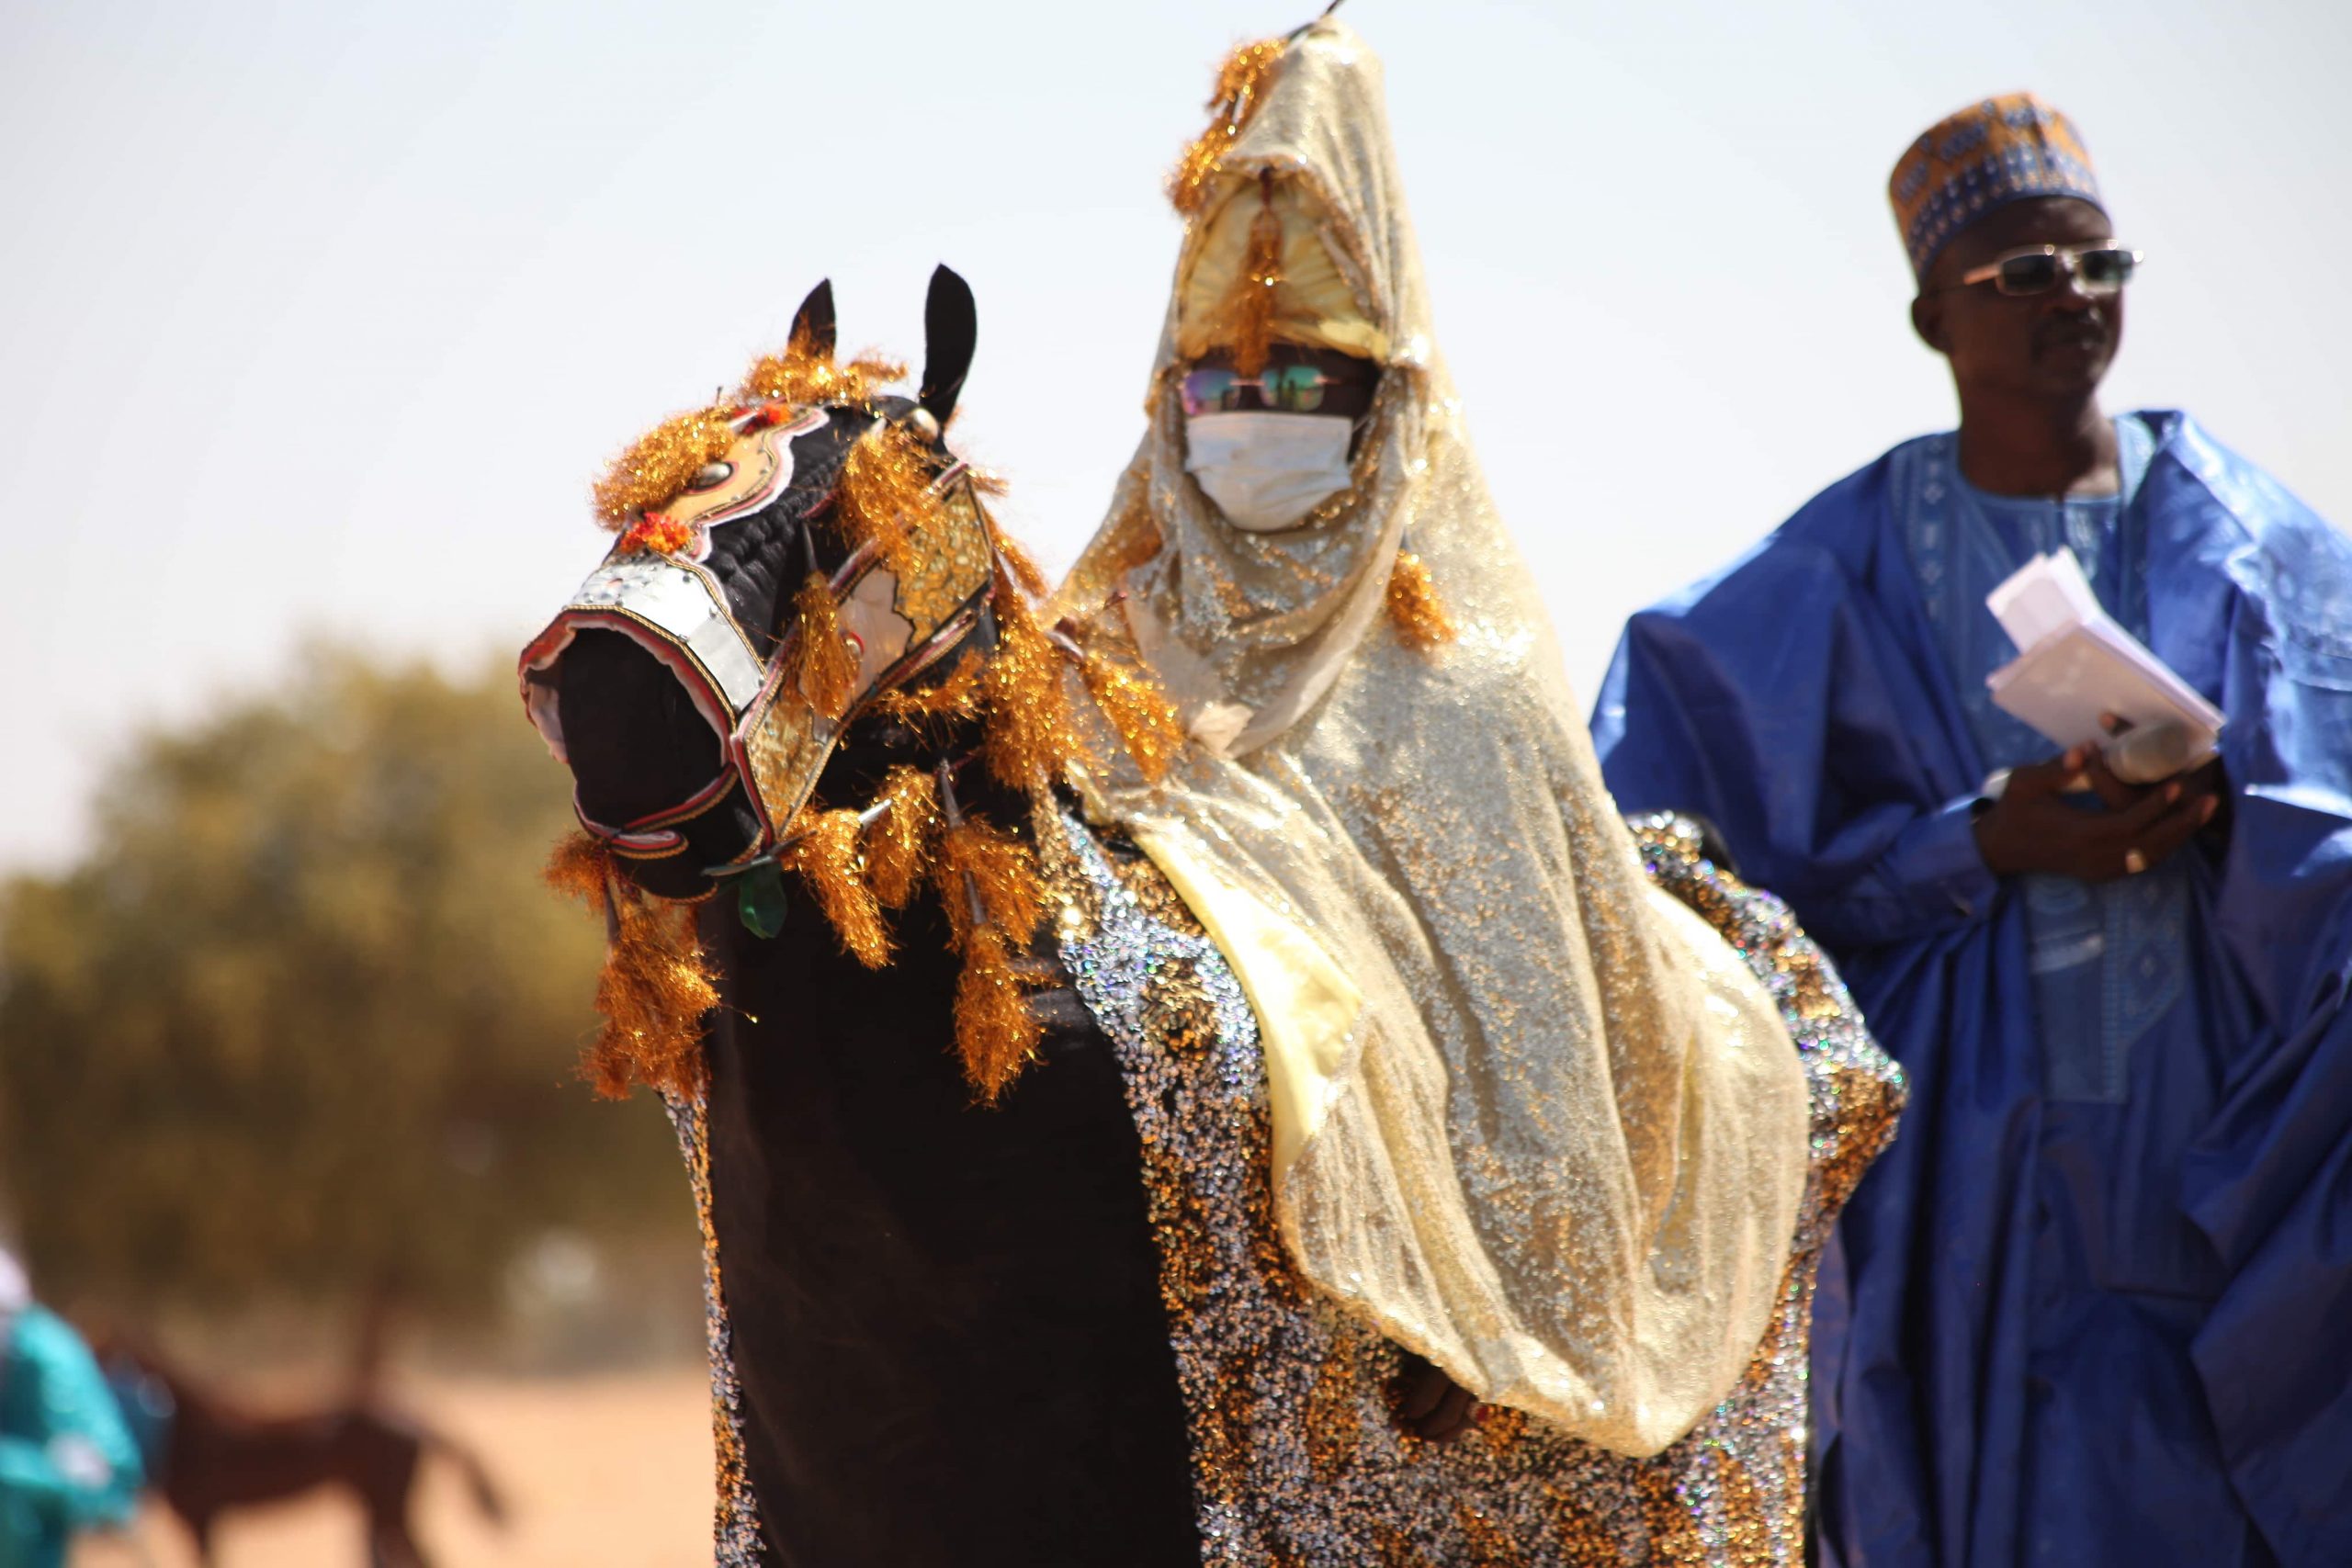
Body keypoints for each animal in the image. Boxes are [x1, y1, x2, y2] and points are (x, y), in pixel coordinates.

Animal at [91, 1335, 505, 1568]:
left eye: (100, 1364)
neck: (184, 1428)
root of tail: (415, 1416)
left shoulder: (204, 1517)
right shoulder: (206, 1520)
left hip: (391, 1506)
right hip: (375, 1503)